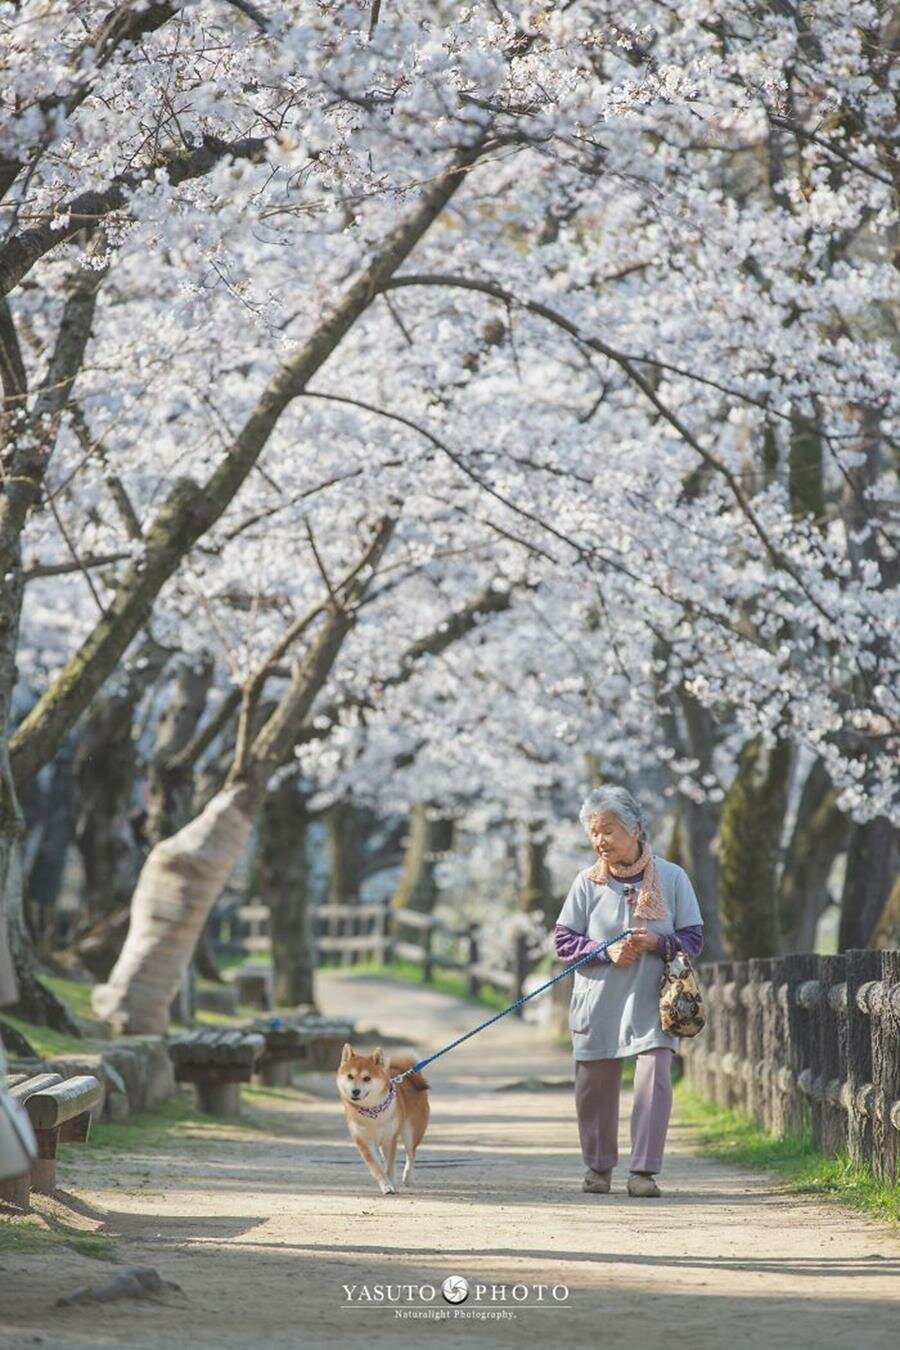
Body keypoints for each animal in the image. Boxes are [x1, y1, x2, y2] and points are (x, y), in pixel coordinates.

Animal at [341, 1042, 431, 1193]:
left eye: (367, 1078)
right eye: (350, 1076)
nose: (355, 1091)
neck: (372, 1112)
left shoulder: (390, 1139)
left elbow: (390, 1167)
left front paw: (391, 1183)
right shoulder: (364, 1141)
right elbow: (376, 1168)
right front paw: (386, 1185)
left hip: (411, 1132)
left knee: (411, 1155)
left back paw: (408, 1178)